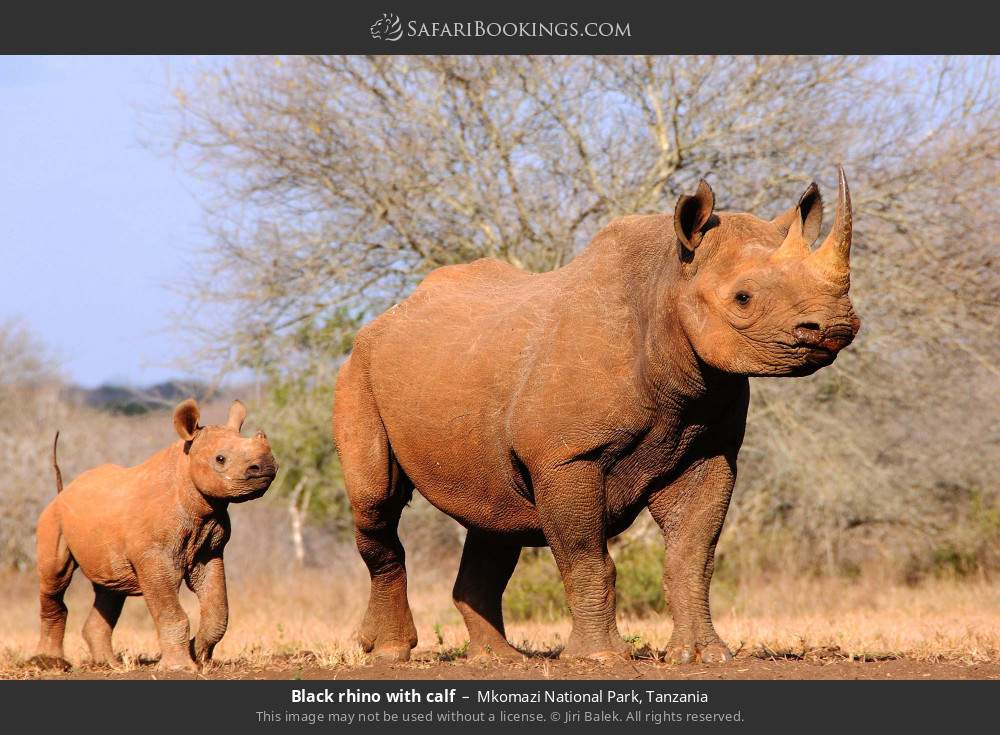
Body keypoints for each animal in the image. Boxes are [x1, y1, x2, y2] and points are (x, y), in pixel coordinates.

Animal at [333, 167, 861, 664]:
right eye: (743, 298)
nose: (834, 327)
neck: (667, 284)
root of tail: (387, 316)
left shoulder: (710, 448)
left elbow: (691, 556)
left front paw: (704, 655)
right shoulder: (567, 455)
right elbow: (586, 557)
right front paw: (601, 657)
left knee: (496, 515)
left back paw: (499, 658)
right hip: (359, 369)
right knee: (377, 503)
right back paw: (389, 652)